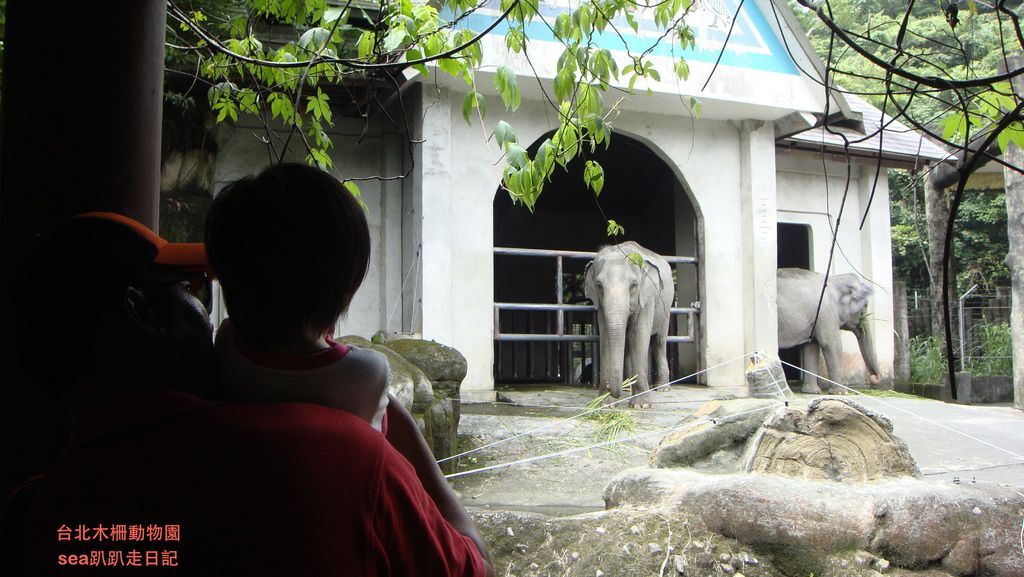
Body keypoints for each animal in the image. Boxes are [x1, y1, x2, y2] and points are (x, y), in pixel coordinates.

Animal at [585, 241, 671, 407]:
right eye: (599, 285)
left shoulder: (647, 297)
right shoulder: (602, 306)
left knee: (658, 341)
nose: (609, 387)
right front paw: (606, 404)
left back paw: (662, 388)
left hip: (666, 310)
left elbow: (638, 335)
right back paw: (626, 387)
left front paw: (641, 405)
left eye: (633, 284)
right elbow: (606, 336)